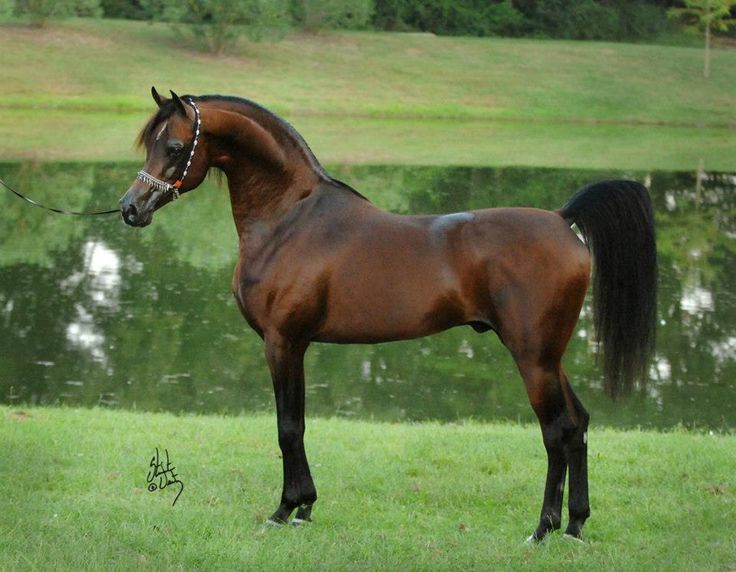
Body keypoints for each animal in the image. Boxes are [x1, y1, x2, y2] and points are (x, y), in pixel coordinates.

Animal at [121, 88, 656, 540]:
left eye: (174, 146)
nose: (130, 209)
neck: (290, 218)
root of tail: (563, 220)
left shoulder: (283, 342)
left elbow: (288, 427)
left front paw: (285, 509)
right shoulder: (296, 345)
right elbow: (298, 424)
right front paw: (306, 508)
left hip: (533, 358)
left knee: (557, 431)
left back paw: (542, 529)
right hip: (550, 356)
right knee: (579, 425)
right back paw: (575, 525)